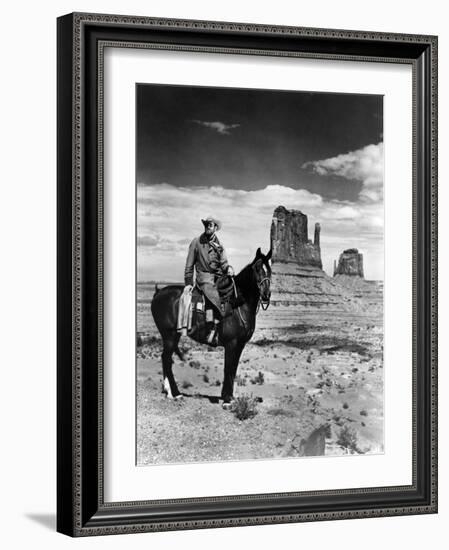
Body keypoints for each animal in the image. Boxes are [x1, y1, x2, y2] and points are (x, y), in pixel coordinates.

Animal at [150, 248, 272, 408]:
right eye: (257, 269)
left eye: (269, 269)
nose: (266, 294)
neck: (238, 304)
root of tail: (158, 292)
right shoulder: (231, 344)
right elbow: (228, 368)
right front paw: (227, 400)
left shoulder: (240, 345)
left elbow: (233, 368)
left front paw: (230, 397)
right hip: (169, 335)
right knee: (166, 359)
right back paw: (175, 394)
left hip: (172, 336)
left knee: (166, 359)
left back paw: (169, 391)